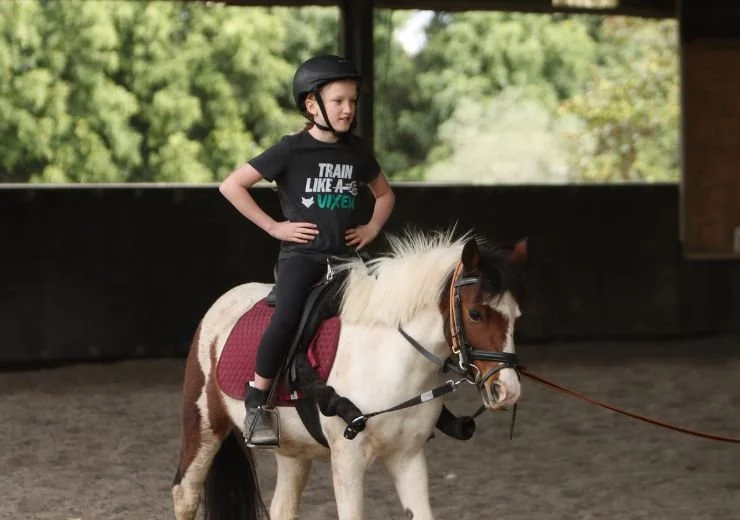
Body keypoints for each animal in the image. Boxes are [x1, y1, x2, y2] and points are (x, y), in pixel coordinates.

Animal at [172, 229, 528, 520]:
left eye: (516, 316)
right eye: (476, 313)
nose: (507, 390)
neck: (390, 363)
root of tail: (224, 301)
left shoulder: (407, 455)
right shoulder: (348, 459)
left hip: (292, 450)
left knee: (283, 507)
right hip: (204, 425)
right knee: (185, 494)